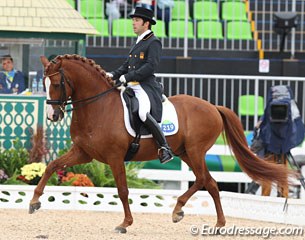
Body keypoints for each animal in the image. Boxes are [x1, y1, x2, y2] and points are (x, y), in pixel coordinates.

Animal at [30, 54, 292, 232]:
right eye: (43, 84)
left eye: (57, 84)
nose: (53, 116)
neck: (98, 106)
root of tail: (213, 106)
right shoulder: (83, 152)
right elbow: (52, 165)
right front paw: (34, 202)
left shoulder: (115, 157)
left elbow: (123, 190)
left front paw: (125, 223)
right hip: (186, 152)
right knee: (209, 182)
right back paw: (210, 220)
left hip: (195, 151)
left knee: (204, 180)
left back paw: (186, 213)